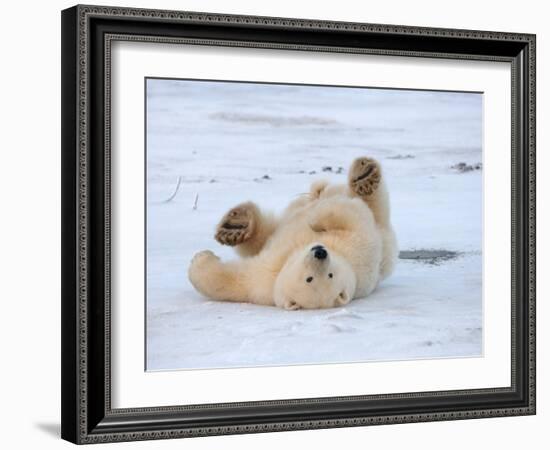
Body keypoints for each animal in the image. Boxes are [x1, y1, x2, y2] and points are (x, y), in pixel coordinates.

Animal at [189, 156, 396, 310]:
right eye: (309, 278)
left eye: (329, 275)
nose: (320, 252)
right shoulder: (265, 279)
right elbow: (235, 281)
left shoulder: (359, 249)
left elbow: (351, 215)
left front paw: (200, 259)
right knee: (267, 232)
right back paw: (235, 226)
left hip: (384, 235)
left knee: (374, 205)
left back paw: (364, 178)